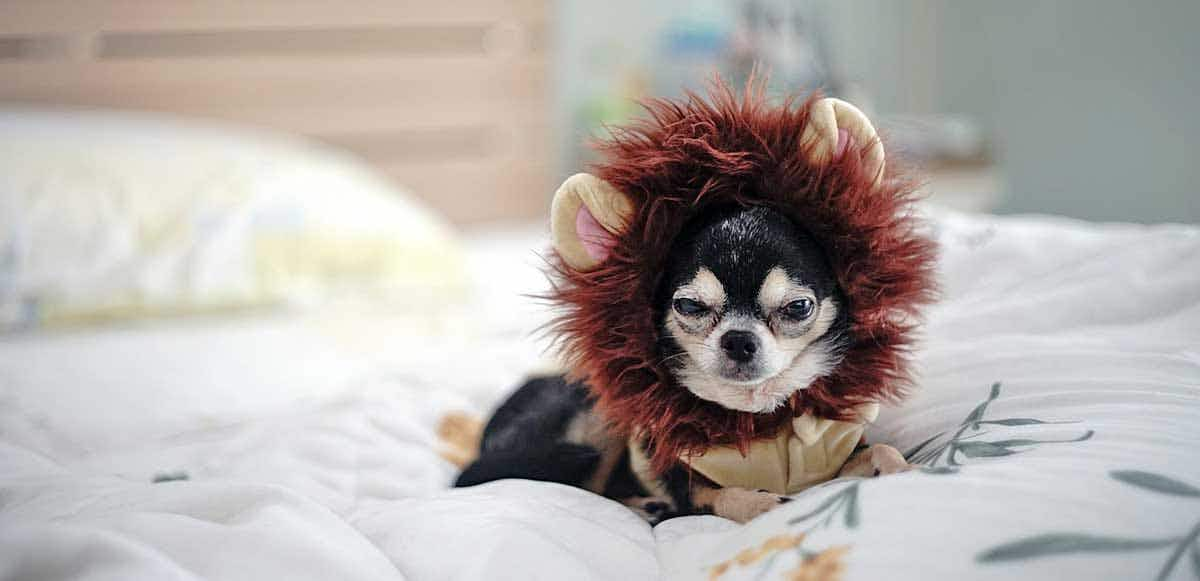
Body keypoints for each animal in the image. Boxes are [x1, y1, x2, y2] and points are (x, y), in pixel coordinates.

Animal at [453, 206, 902, 523]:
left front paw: (903, 472)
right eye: (689, 305)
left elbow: (882, 450)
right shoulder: (683, 483)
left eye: (798, 307)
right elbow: (722, 495)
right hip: (597, 422)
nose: (738, 339)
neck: (752, 413)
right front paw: (762, 505)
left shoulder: (831, 461)